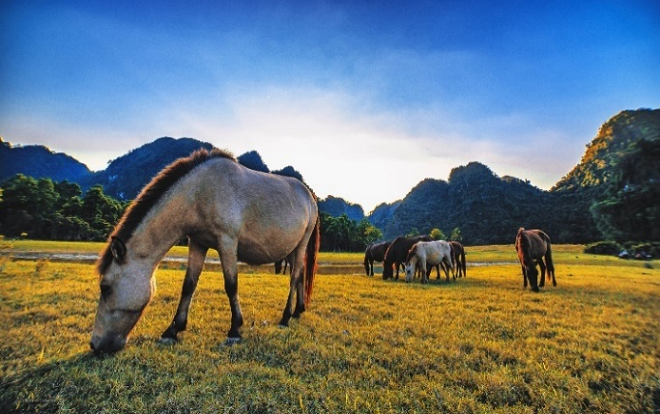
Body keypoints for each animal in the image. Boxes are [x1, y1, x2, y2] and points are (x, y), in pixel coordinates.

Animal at [91, 147, 322, 354]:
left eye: (105, 287)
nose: (95, 344)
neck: (199, 194)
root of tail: (309, 195)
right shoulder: (198, 243)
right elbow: (189, 285)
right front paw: (172, 330)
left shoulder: (227, 242)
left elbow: (231, 285)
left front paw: (235, 329)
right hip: (291, 249)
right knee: (300, 274)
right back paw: (298, 310)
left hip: (301, 245)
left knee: (294, 277)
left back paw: (285, 317)